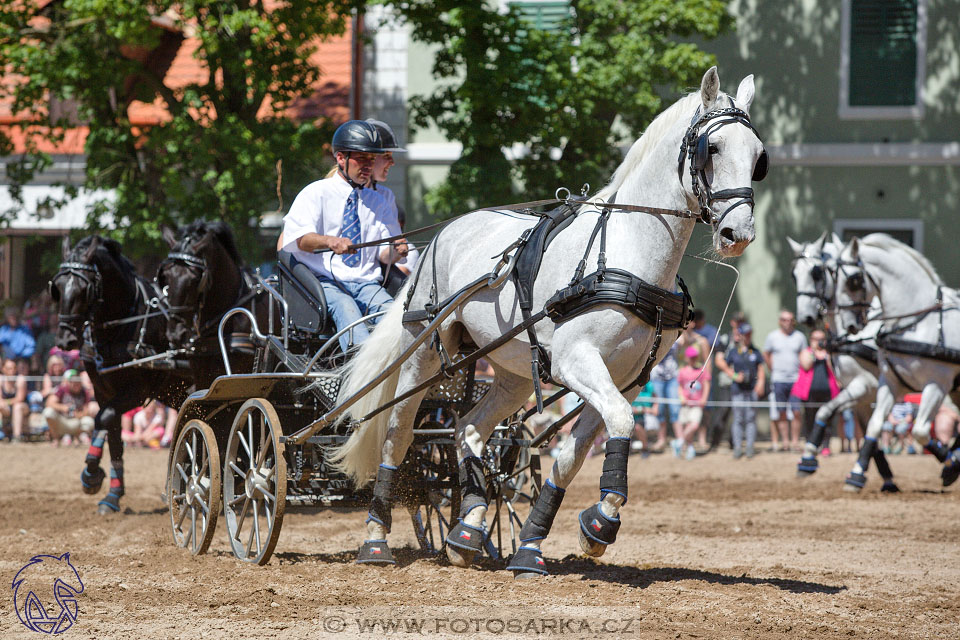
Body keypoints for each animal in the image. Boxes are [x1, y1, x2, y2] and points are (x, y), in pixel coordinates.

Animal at [50, 238, 193, 512]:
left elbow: (103, 418)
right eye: (58, 287)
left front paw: (92, 475)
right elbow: (111, 432)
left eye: (84, 289)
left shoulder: (138, 391)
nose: (65, 338)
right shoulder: (102, 390)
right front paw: (111, 493)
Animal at [330, 67, 764, 576]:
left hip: (513, 371)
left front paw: (540, 542)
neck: (628, 254)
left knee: (468, 428)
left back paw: (467, 529)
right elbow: (621, 419)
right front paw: (602, 519)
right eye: (711, 148)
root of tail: (441, 235)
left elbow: (572, 456)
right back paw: (375, 538)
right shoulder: (577, 362)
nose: (738, 233)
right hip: (424, 353)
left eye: (758, 156)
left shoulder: (627, 377)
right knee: (396, 435)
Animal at [784, 235, 896, 490]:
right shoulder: (859, 394)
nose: (805, 317)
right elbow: (855, 423)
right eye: (794, 274)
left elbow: (827, 410)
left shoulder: (866, 384)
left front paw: (808, 460)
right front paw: (885, 477)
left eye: (817, 272)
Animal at [832, 235, 960, 490]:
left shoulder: (937, 385)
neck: (914, 323)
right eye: (833, 277)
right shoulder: (889, 383)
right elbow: (874, 424)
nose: (850, 323)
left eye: (854, 280)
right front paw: (856, 475)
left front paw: (950, 463)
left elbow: (920, 431)